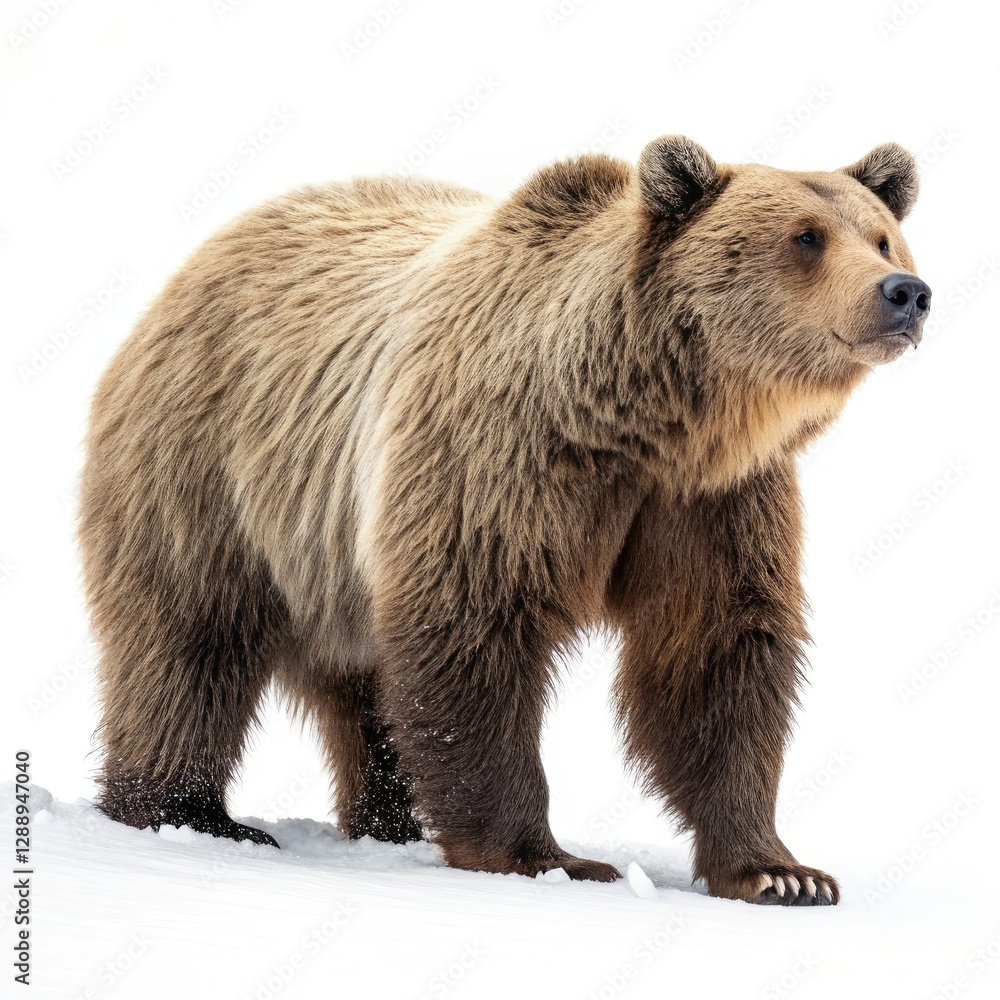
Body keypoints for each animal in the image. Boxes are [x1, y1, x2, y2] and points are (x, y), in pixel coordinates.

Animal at [79, 135, 930, 906]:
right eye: (806, 237)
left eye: (880, 233)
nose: (905, 291)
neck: (648, 420)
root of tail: (205, 253)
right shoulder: (505, 458)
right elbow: (476, 626)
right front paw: (545, 855)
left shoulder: (712, 499)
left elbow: (716, 653)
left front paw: (782, 871)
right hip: (212, 470)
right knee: (189, 640)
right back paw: (187, 811)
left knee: (360, 684)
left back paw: (387, 822)